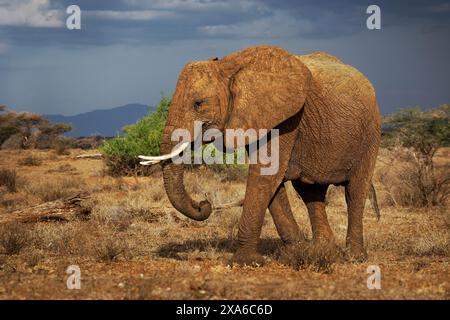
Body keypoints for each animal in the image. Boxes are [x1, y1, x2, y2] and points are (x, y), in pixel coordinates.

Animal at [140, 45, 380, 264]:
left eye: (198, 103)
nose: (203, 204)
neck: (228, 67)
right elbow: (272, 182)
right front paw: (296, 251)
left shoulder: (286, 118)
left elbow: (264, 175)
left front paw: (245, 261)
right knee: (310, 193)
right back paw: (323, 251)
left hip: (370, 134)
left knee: (355, 191)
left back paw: (355, 257)